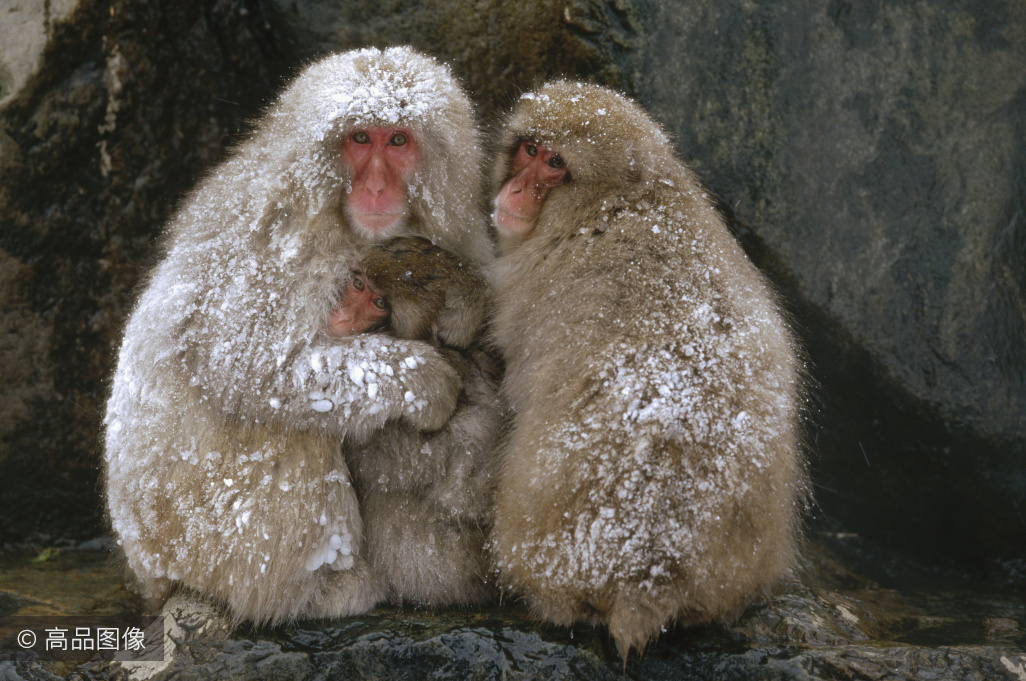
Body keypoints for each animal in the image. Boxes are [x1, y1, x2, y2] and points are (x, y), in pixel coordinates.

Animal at [488, 81, 808, 660]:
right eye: (528, 148)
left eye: (555, 163)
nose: (516, 189)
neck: (616, 205)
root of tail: (651, 572)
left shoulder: (530, 291)